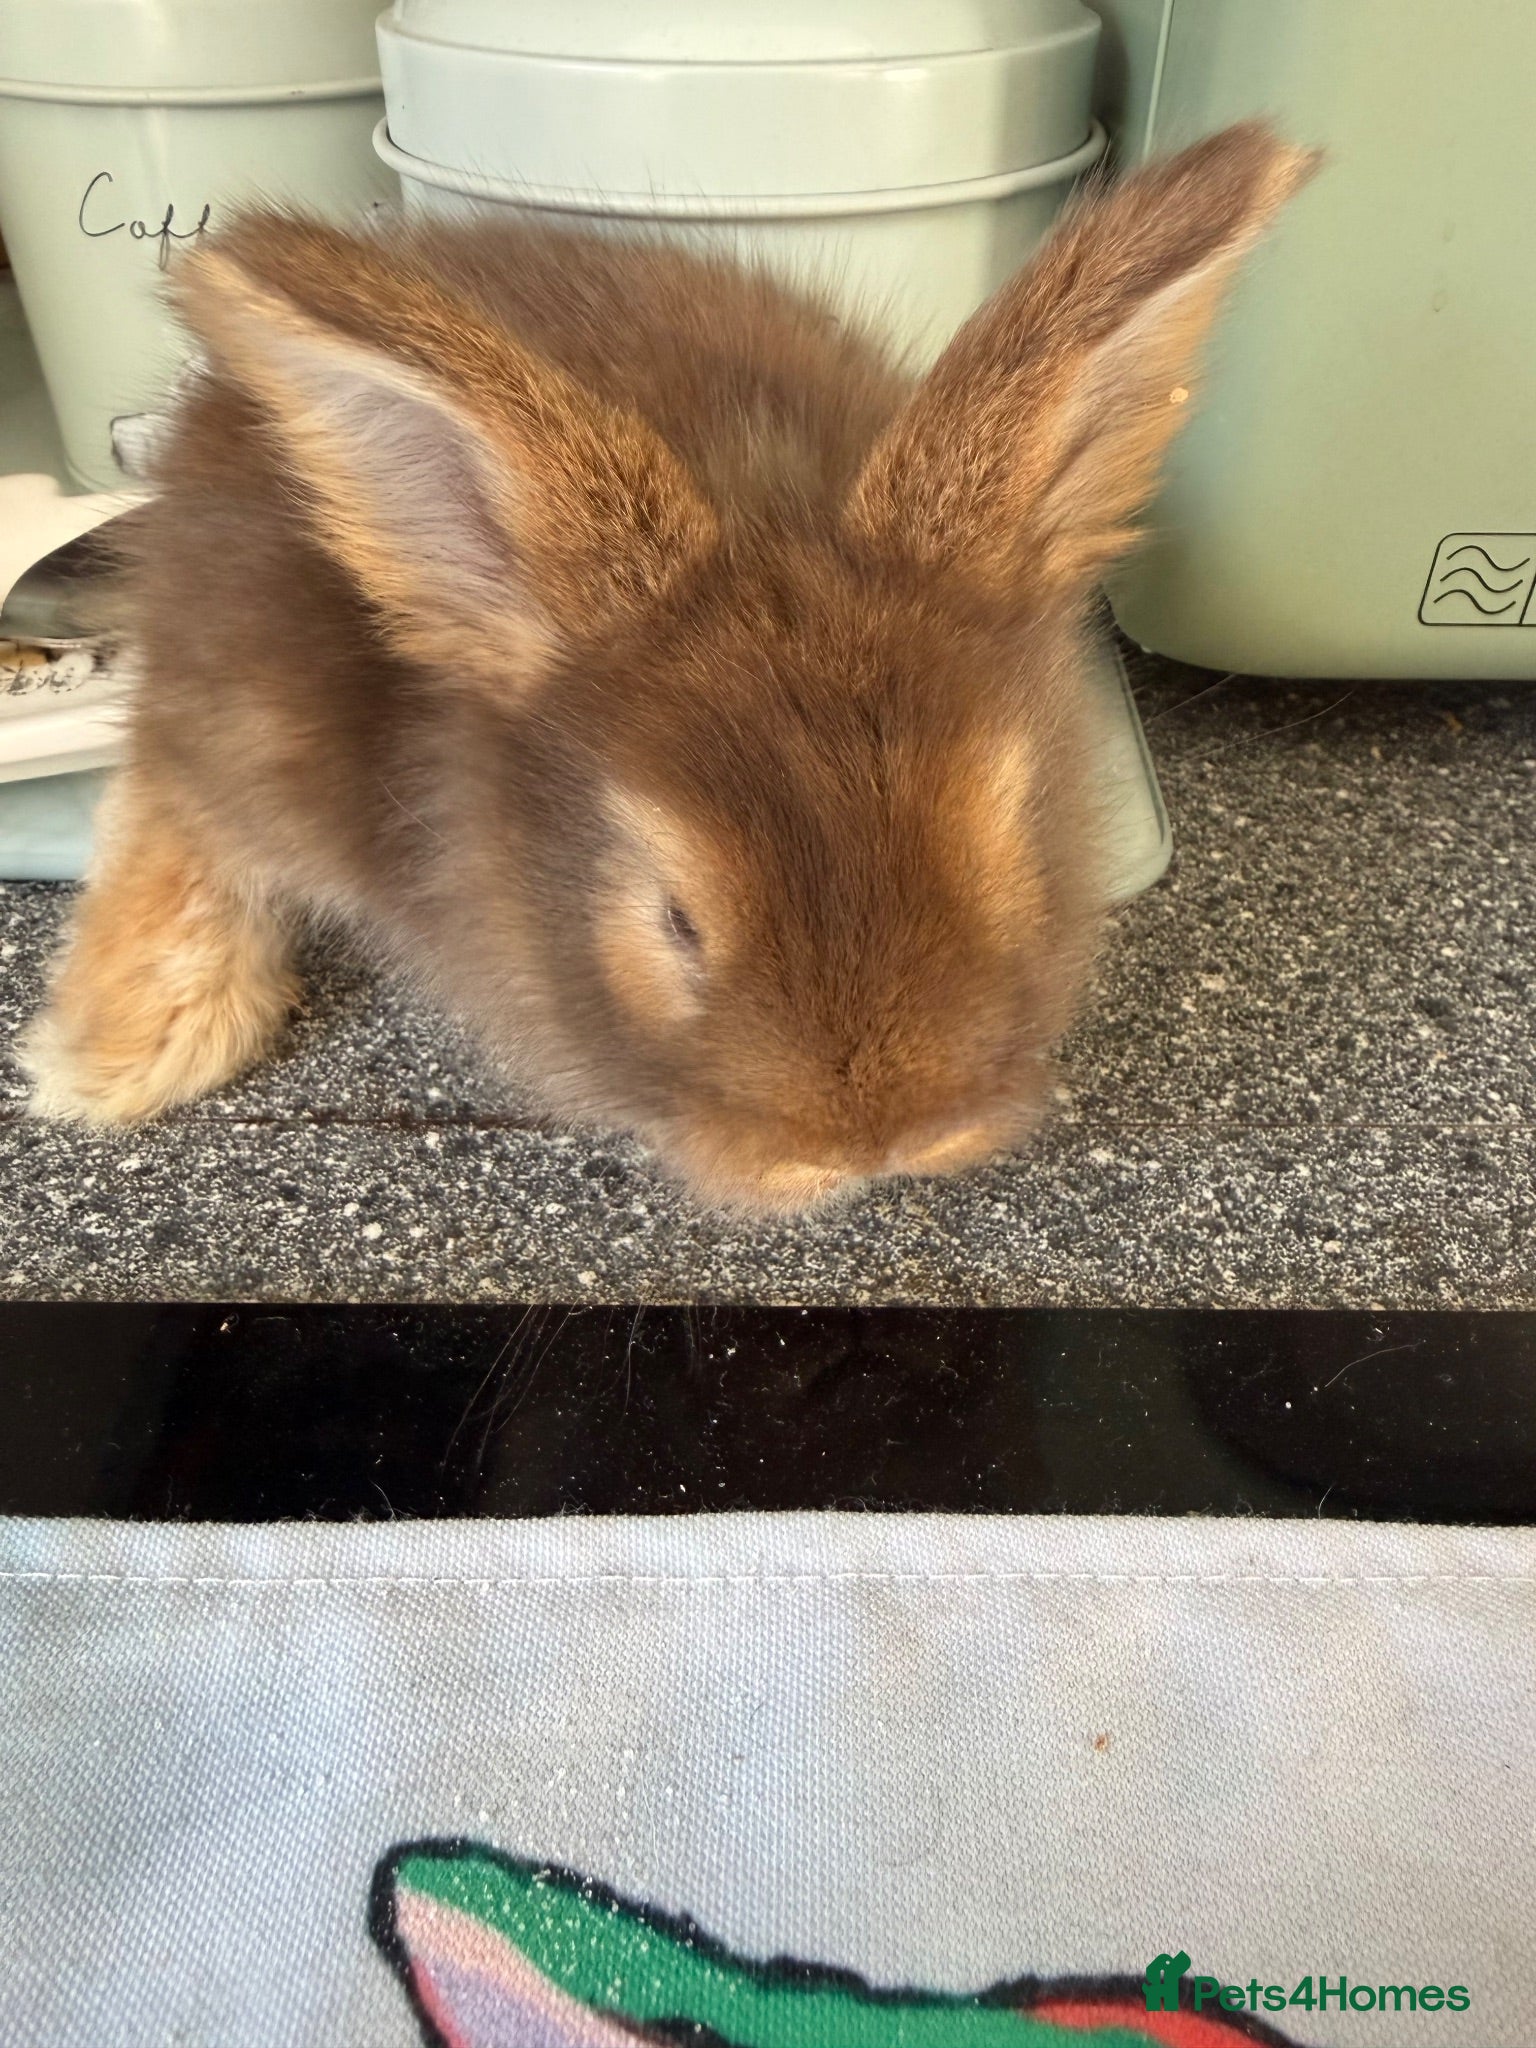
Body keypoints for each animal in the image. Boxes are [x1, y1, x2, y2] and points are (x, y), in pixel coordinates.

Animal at [21, 124, 1316, 1213]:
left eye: (1005, 850)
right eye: (676, 920)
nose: (873, 1145)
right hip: (237, 710)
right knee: (164, 790)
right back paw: (116, 1051)